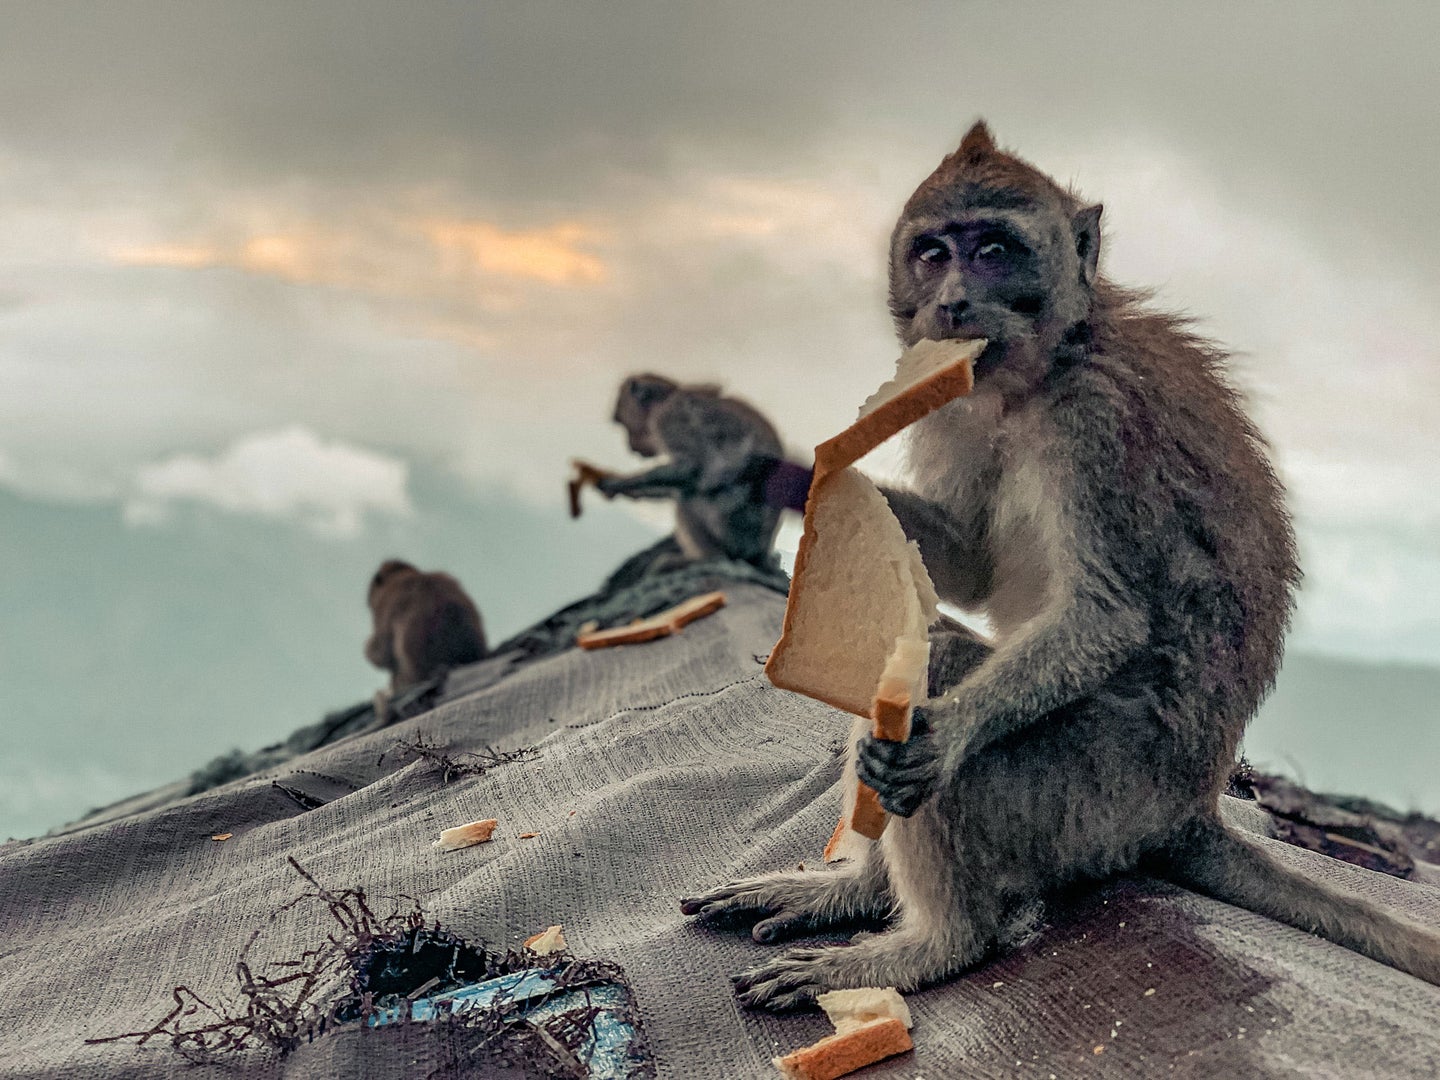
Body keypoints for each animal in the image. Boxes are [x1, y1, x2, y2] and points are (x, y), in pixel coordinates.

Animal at [567, 371, 789, 576]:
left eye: (621, 422)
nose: (630, 446)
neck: (670, 396)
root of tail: (760, 553)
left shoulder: (669, 418)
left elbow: (690, 468)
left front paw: (618, 483)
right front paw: (619, 487)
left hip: (734, 527)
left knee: (688, 496)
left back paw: (709, 559)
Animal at [679, 122, 1440, 1013]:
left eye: (994, 249)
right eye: (933, 253)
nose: (952, 302)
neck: (1045, 368)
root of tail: (1187, 808)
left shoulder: (1094, 423)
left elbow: (1105, 614)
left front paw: (950, 733)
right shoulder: (959, 398)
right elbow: (972, 563)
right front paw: (793, 473)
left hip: (1090, 800)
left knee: (935, 677)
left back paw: (931, 945)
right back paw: (856, 893)